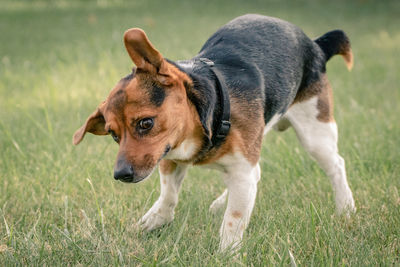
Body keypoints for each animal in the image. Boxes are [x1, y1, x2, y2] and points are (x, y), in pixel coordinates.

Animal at [73, 14, 354, 253]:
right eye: (113, 135)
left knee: (336, 165)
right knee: (257, 173)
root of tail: (315, 45)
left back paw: (346, 207)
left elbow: (234, 218)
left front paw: (227, 253)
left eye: (145, 123)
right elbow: (169, 195)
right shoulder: (170, 158)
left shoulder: (240, 168)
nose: (120, 174)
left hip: (315, 130)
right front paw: (156, 218)